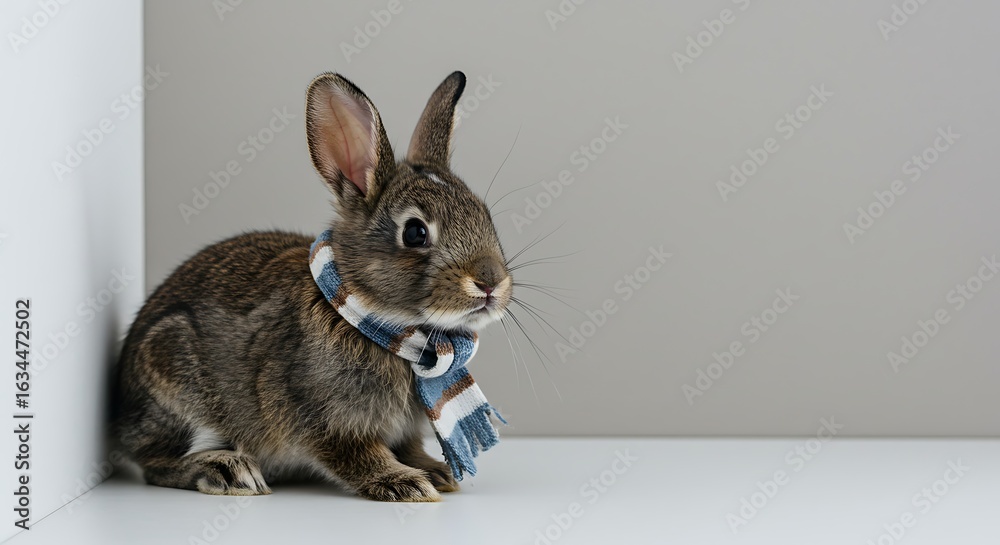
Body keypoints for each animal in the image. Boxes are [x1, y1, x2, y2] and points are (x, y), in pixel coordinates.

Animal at [114, 71, 512, 502]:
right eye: (415, 232)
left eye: (484, 215)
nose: (491, 283)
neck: (383, 324)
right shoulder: (324, 421)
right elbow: (358, 454)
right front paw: (405, 483)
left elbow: (408, 447)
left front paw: (436, 472)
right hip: (174, 378)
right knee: (155, 463)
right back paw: (227, 470)